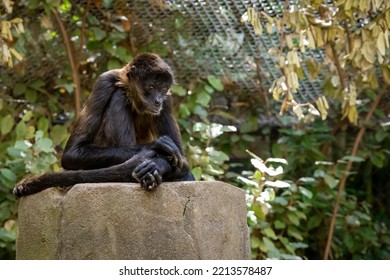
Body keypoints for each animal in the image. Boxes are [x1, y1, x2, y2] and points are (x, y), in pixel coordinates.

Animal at [13, 52, 193, 197]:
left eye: (163, 88)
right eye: (151, 86)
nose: (157, 101)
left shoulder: (167, 101)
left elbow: (182, 162)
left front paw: (158, 165)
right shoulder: (104, 82)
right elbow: (71, 154)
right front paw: (154, 148)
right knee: (118, 96)